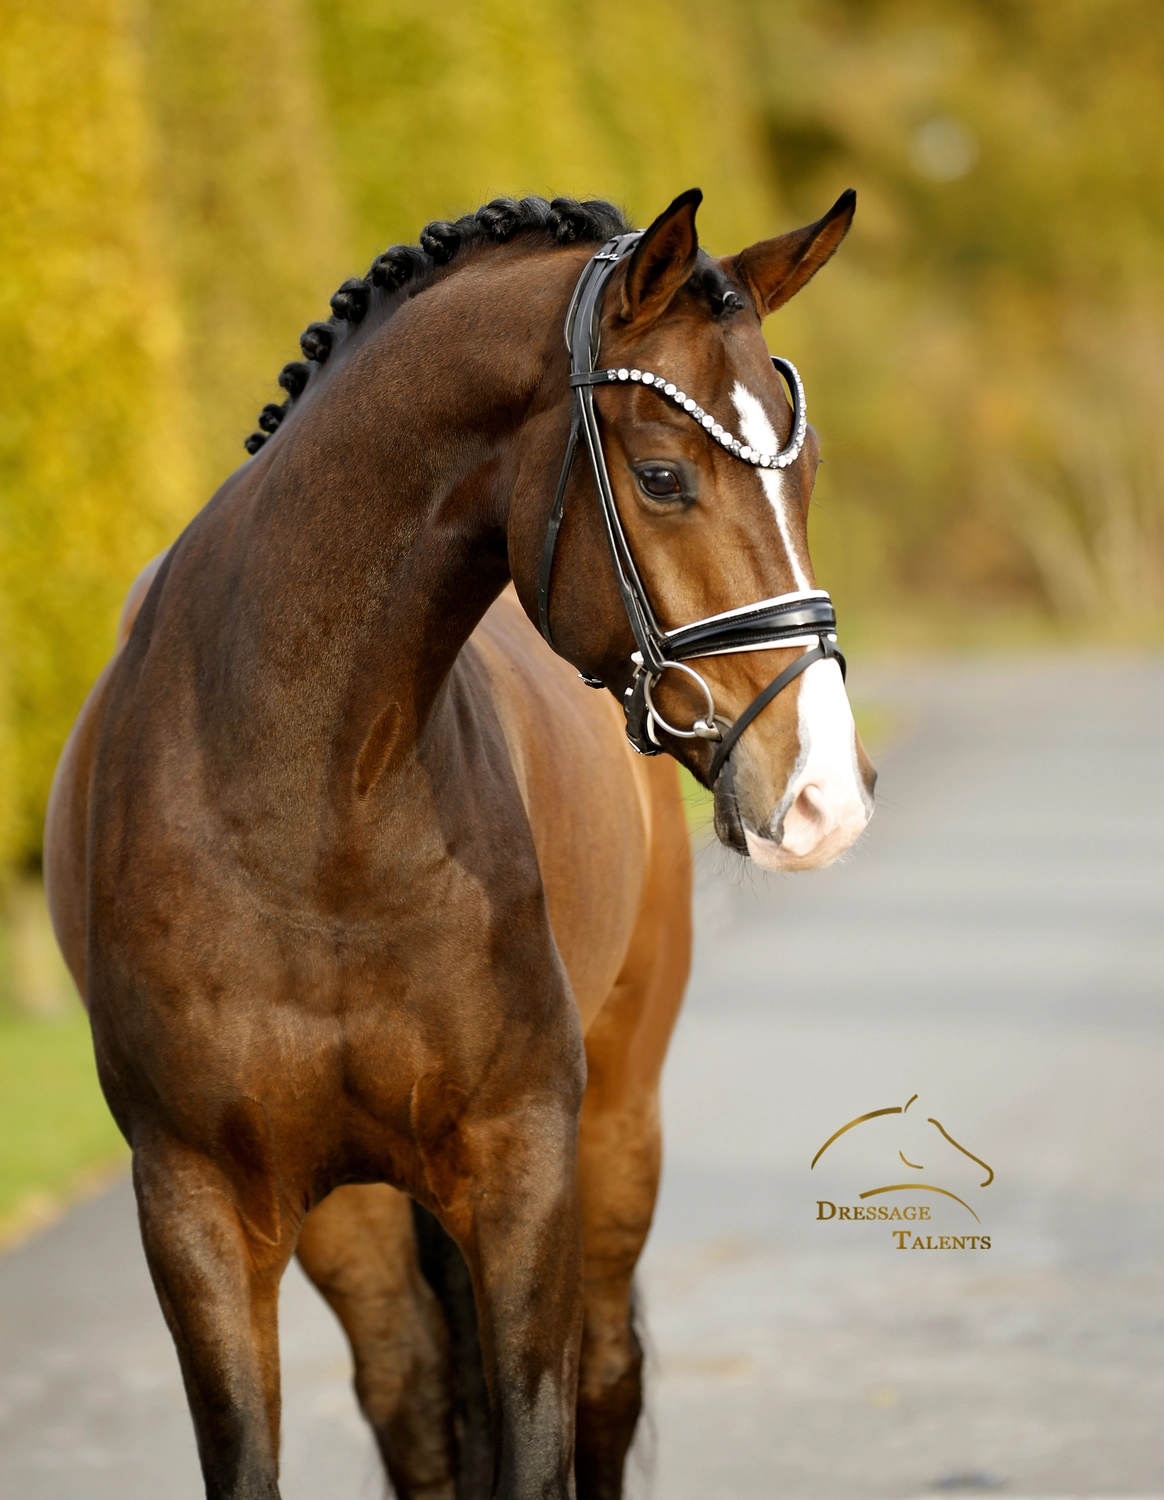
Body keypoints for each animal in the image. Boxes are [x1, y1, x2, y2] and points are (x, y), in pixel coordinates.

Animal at [44, 188, 875, 1500]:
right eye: (662, 475)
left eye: (809, 475)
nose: (824, 796)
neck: (312, 808)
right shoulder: (197, 1203)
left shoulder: (525, 1166)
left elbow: (537, 1441)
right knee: (415, 1398)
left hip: (619, 1127)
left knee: (601, 1382)